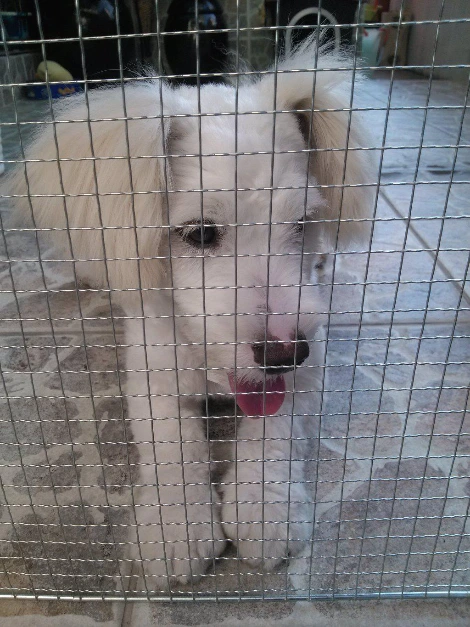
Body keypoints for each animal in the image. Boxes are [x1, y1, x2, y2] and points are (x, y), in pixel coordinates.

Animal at [10, 37, 374, 588]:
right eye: (200, 233)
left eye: (302, 224)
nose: (283, 354)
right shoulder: (151, 377)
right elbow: (172, 445)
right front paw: (177, 528)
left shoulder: (307, 374)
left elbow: (276, 435)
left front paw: (265, 510)